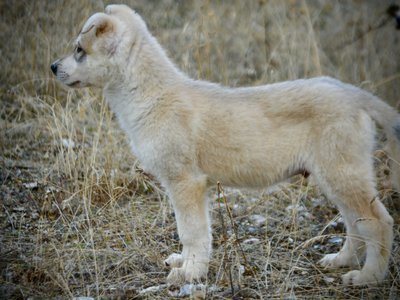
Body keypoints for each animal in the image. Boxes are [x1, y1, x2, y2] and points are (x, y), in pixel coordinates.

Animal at [51, 4, 400, 286]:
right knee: (355, 224)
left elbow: (191, 231)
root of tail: (355, 94)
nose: (53, 67)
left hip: (343, 174)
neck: (151, 95)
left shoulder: (185, 182)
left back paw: (368, 277)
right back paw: (341, 261)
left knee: (378, 223)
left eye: (79, 49)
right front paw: (185, 263)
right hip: (335, 177)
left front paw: (189, 273)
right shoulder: (195, 187)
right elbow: (196, 232)